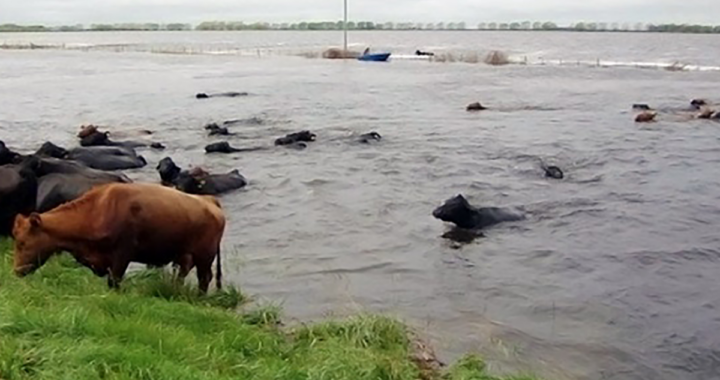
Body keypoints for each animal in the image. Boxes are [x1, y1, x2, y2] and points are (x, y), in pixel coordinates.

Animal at [11, 183, 225, 292]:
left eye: (22, 243)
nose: (16, 271)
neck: (97, 209)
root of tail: (208, 200)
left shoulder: (122, 254)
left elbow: (115, 281)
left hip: (205, 255)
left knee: (204, 278)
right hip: (185, 255)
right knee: (185, 272)